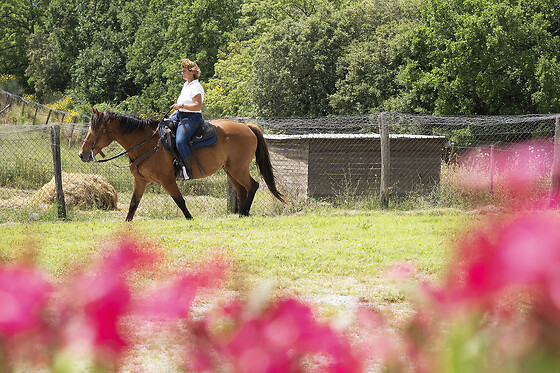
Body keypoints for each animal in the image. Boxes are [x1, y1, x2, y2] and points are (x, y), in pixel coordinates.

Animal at [79, 109, 284, 221]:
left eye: (96, 129)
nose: (82, 154)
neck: (146, 144)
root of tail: (247, 127)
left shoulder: (167, 180)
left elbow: (180, 201)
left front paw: (190, 219)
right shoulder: (140, 181)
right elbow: (133, 205)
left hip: (238, 169)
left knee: (253, 186)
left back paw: (245, 213)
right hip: (230, 170)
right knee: (242, 190)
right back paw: (241, 214)